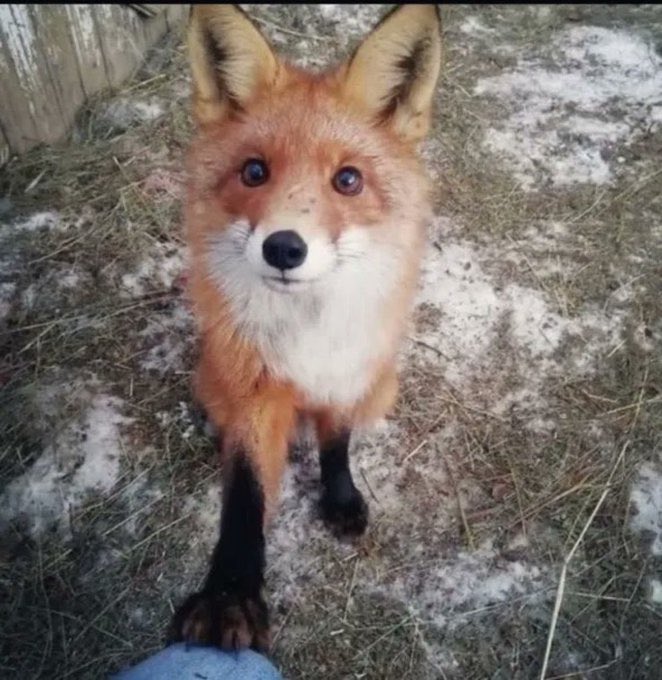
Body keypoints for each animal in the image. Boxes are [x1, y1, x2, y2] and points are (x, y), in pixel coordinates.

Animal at [169, 4, 443, 652]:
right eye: (254, 171)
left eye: (348, 180)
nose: (284, 248)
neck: (305, 332)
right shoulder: (252, 388)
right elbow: (245, 493)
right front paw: (229, 594)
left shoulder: (346, 371)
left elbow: (336, 444)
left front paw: (339, 500)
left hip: (382, 383)